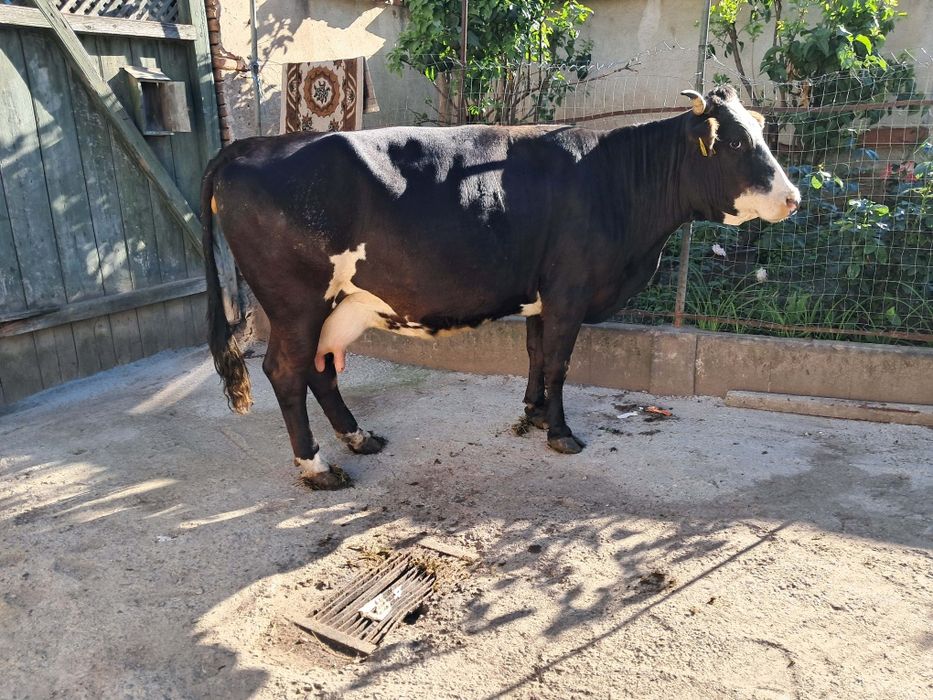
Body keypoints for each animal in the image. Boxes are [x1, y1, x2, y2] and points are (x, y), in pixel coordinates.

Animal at [201, 85, 800, 490]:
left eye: (760, 135)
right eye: (738, 142)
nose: (794, 198)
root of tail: (251, 146)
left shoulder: (542, 294)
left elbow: (535, 354)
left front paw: (533, 414)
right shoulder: (570, 291)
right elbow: (559, 362)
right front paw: (560, 433)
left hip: (337, 306)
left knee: (321, 370)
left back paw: (358, 437)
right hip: (295, 303)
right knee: (286, 371)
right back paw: (317, 466)